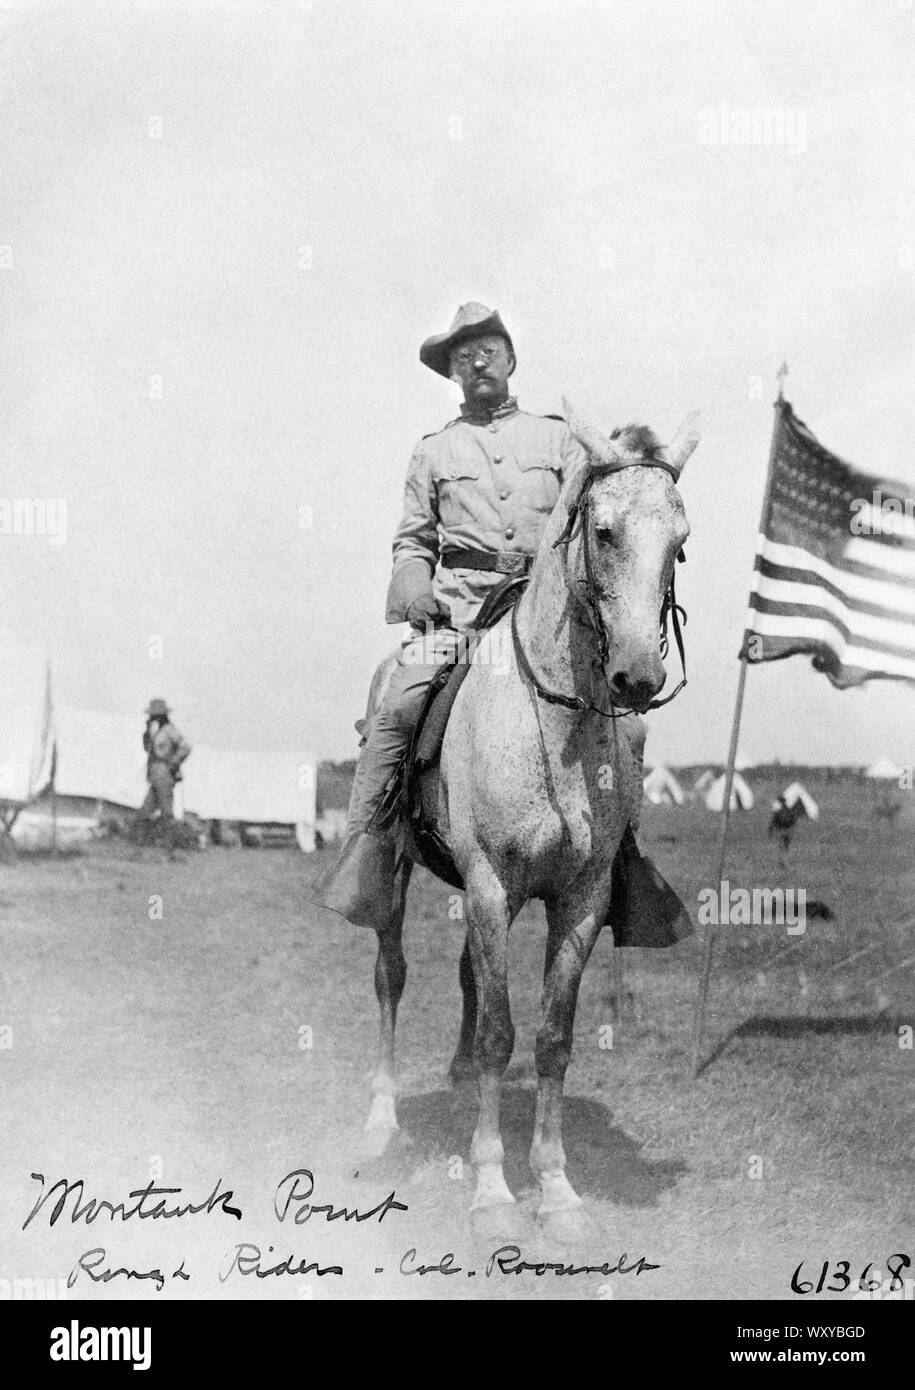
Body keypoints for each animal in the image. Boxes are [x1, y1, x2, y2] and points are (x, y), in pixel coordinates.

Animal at [358, 400, 698, 1239]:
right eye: (603, 531)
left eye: (679, 541)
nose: (637, 676)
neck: (553, 725)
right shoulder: (488, 885)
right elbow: (497, 1033)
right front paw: (492, 1190)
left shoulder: (578, 900)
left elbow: (548, 1036)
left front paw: (556, 1187)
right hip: (398, 875)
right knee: (391, 977)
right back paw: (379, 1122)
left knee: (467, 978)